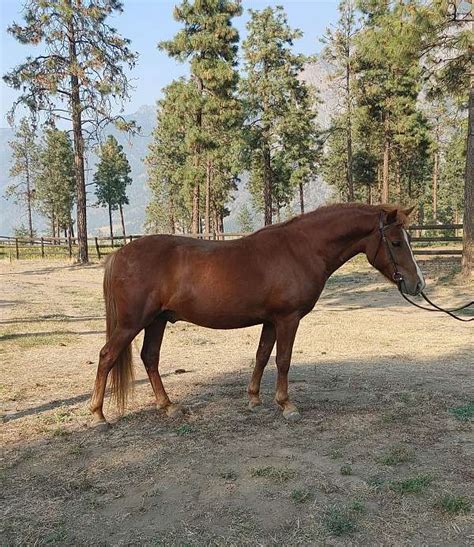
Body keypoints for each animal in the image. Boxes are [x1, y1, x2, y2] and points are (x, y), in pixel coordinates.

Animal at [90, 202, 426, 428]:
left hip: (157, 321)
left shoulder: (271, 320)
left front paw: (253, 398)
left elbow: (262, 355)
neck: (300, 250)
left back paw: (168, 406)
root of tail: (119, 254)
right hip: (132, 323)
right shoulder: (288, 319)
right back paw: (98, 415)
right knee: (107, 356)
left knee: (150, 358)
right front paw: (287, 405)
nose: (417, 284)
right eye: (396, 242)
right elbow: (283, 360)